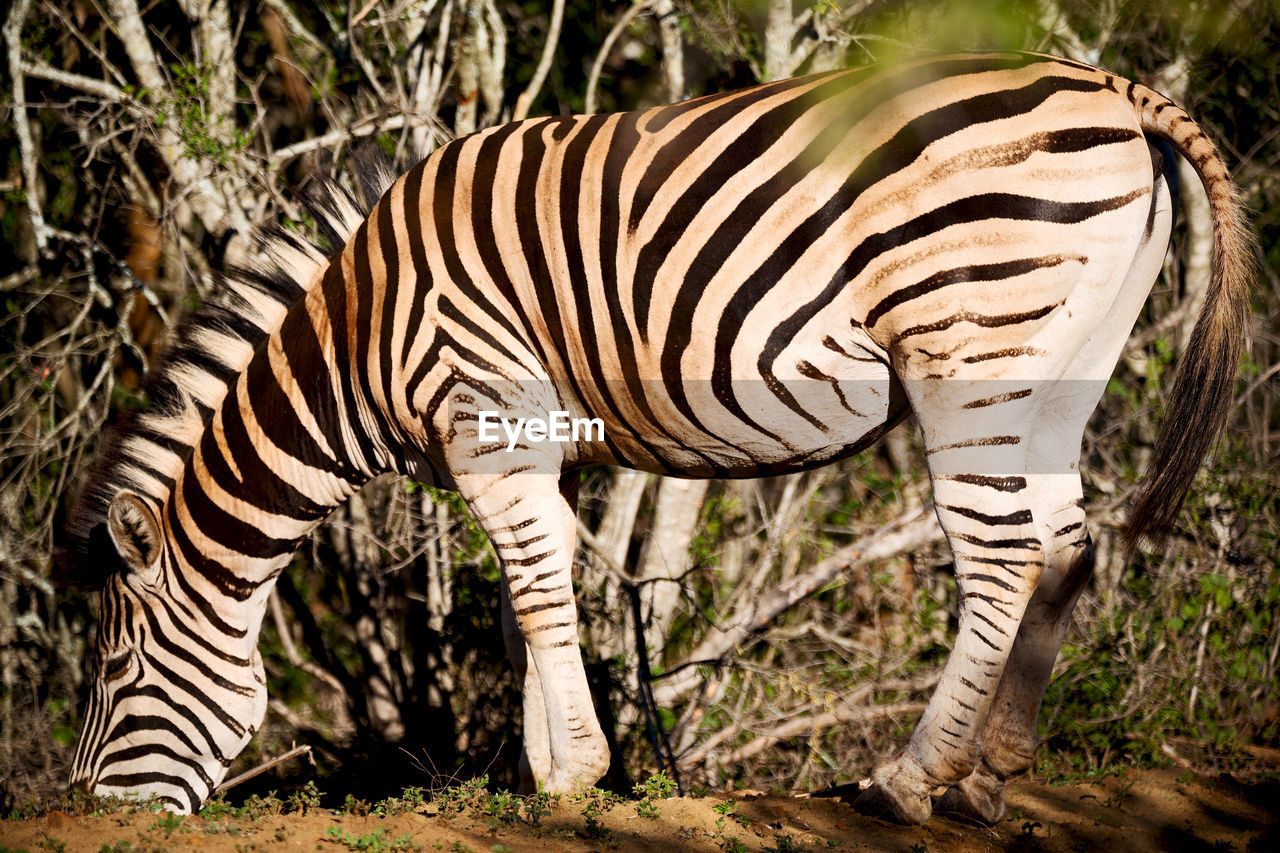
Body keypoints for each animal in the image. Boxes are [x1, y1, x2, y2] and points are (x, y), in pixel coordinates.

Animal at [67, 49, 1249, 819]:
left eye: (114, 672)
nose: (83, 812)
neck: (363, 332)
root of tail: (1113, 88)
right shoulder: (535, 443)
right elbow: (530, 600)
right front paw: (542, 769)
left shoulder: (485, 416)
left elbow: (536, 592)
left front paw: (566, 776)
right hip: (1059, 372)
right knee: (1066, 547)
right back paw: (994, 775)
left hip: (967, 343)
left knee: (1001, 556)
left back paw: (911, 780)